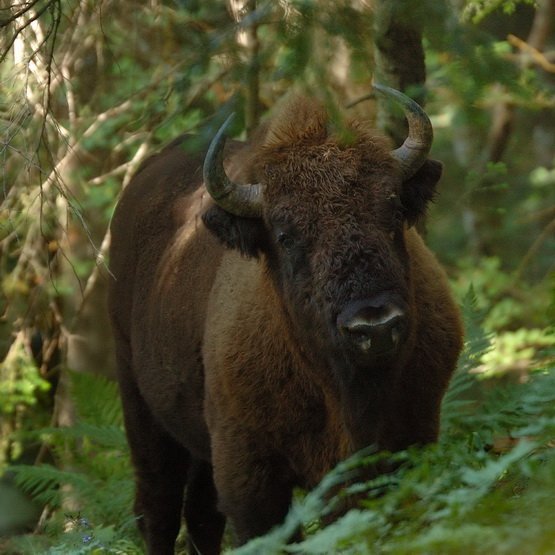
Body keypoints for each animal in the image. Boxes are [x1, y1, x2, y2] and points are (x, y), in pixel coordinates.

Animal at [108, 83, 464, 555]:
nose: (374, 326)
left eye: (392, 211)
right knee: (158, 509)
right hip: (140, 406)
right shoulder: (251, 476)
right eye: (285, 235)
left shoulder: (411, 438)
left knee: (200, 514)